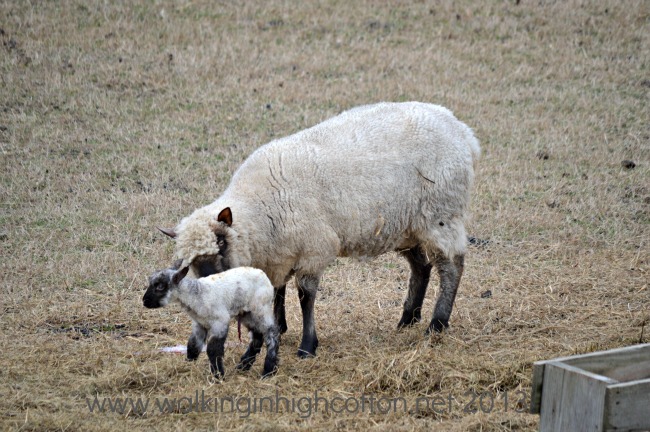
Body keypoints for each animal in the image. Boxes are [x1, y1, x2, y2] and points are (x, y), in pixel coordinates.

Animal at [142, 263, 280, 378]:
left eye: (160, 286)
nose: (144, 301)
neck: (196, 294)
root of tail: (263, 274)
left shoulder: (220, 321)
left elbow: (213, 349)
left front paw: (218, 376)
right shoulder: (199, 324)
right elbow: (193, 344)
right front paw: (188, 364)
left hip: (261, 308)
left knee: (272, 333)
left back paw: (268, 370)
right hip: (246, 314)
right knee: (257, 336)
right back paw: (243, 365)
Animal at [159, 101, 480, 358]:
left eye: (222, 243)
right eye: (189, 263)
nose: (210, 285)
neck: (257, 208)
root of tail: (461, 129)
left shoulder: (313, 248)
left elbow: (305, 296)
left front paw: (307, 346)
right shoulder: (279, 253)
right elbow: (276, 290)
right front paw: (279, 326)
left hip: (440, 214)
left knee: (451, 266)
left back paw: (437, 324)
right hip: (406, 224)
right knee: (421, 266)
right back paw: (408, 319)